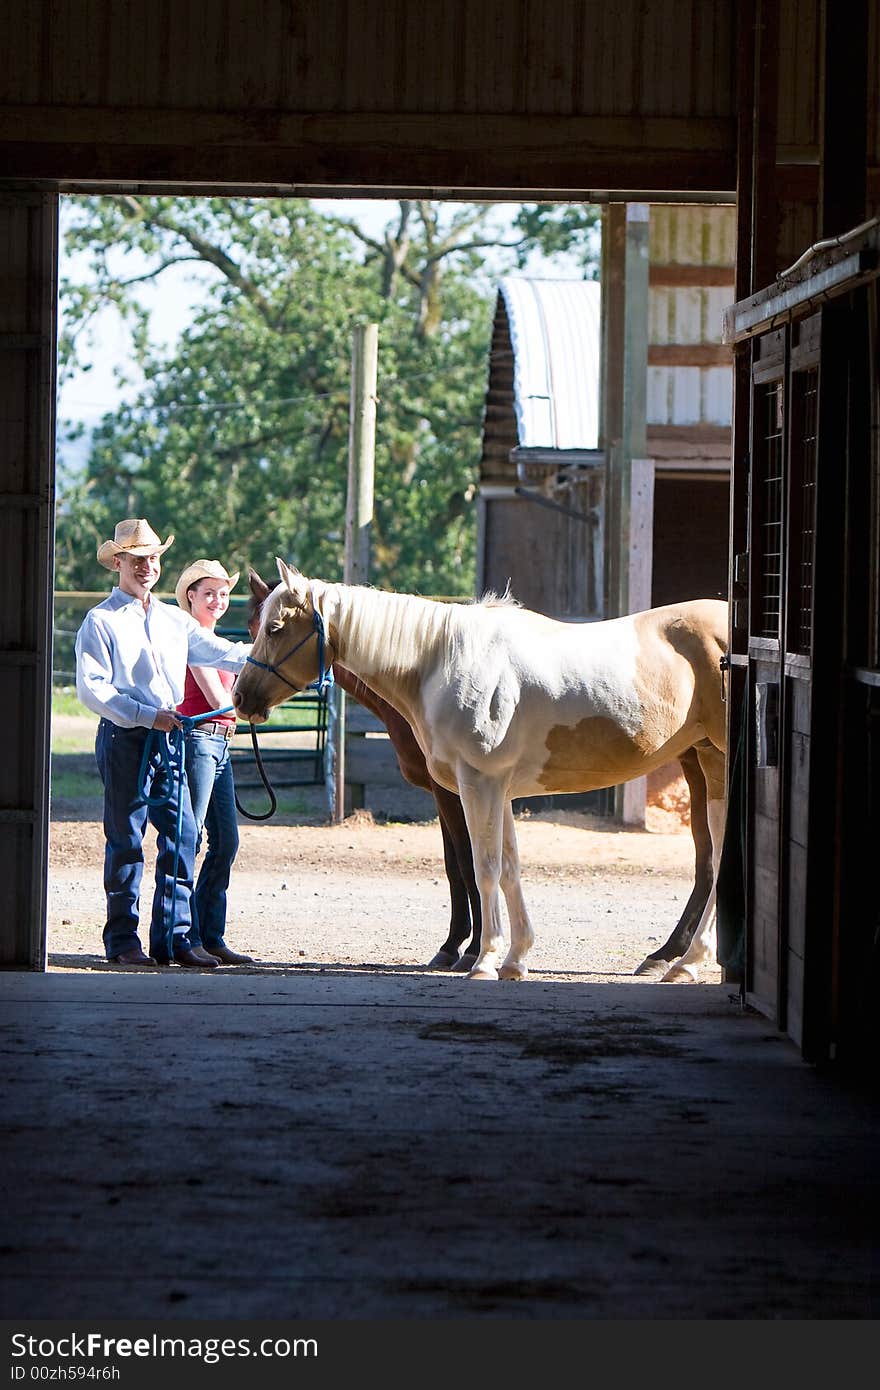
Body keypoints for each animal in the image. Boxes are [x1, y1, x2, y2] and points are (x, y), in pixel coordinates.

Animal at [234, 558, 728, 984]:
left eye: (273, 629)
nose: (241, 698)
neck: (441, 661)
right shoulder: (496, 789)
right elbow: (508, 868)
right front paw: (515, 957)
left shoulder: (477, 783)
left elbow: (480, 866)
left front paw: (483, 958)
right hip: (710, 764)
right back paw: (684, 961)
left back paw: (685, 961)